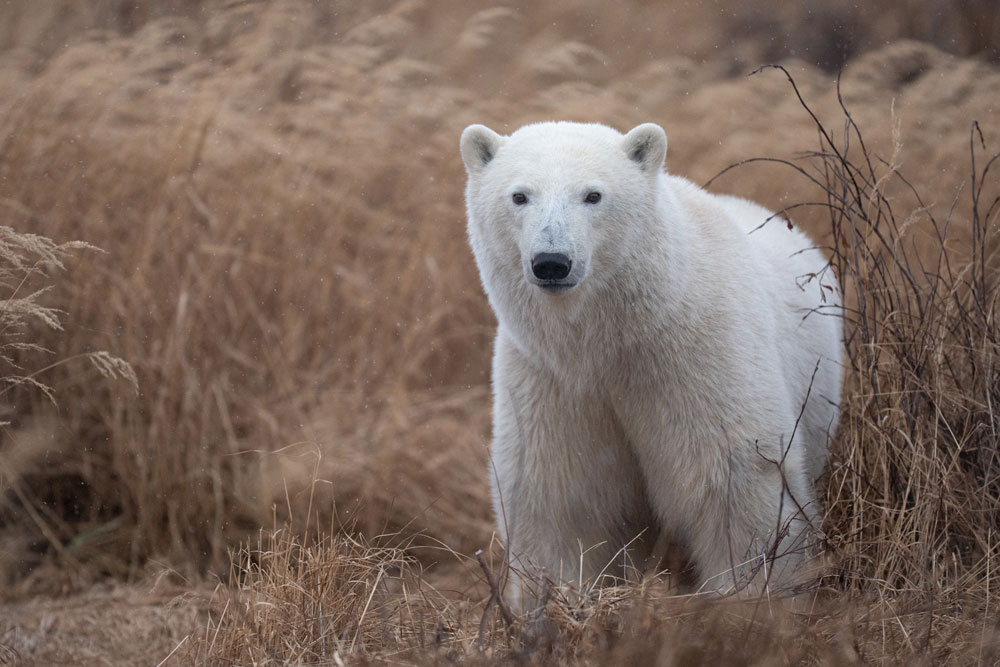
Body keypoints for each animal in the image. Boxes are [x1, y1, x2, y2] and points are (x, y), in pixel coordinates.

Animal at [459, 121, 843, 606]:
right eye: (520, 195)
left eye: (593, 195)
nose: (552, 262)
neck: (612, 341)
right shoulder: (552, 381)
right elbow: (562, 501)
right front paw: (557, 603)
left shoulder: (698, 355)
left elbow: (735, 482)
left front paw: (752, 599)